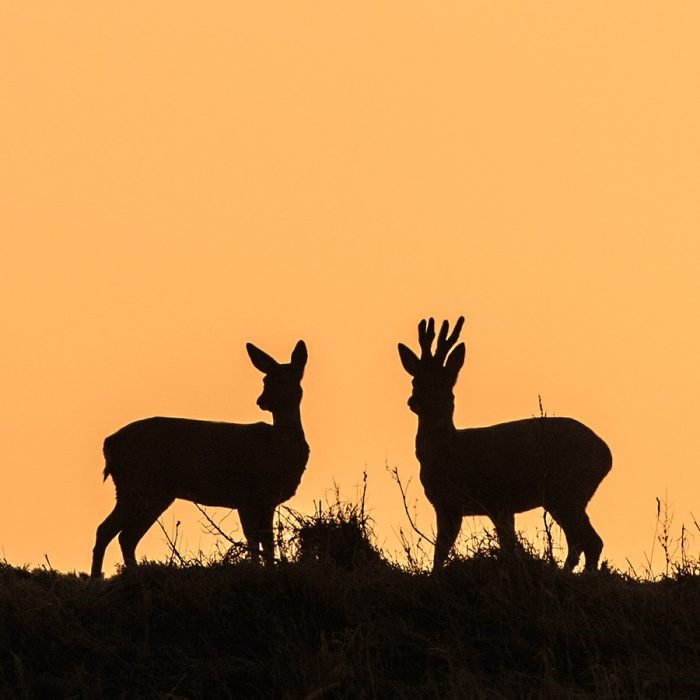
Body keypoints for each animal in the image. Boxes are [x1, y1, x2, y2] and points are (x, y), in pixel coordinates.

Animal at [89, 338, 308, 576]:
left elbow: (262, 539)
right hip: (139, 484)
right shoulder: (250, 494)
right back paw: (97, 579)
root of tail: (109, 443)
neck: (280, 446)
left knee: (125, 536)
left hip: (151, 493)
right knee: (107, 530)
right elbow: (258, 539)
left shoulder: (263, 499)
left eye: (284, 379)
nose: (262, 401)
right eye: (265, 380)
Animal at [400, 320, 612, 572]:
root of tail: (607, 455)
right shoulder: (448, 505)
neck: (448, 449)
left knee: (591, 540)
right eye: (415, 380)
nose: (413, 401)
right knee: (581, 541)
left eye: (441, 382)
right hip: (566, 497)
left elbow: (445, 550)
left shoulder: (488, 500)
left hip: (567, 491)